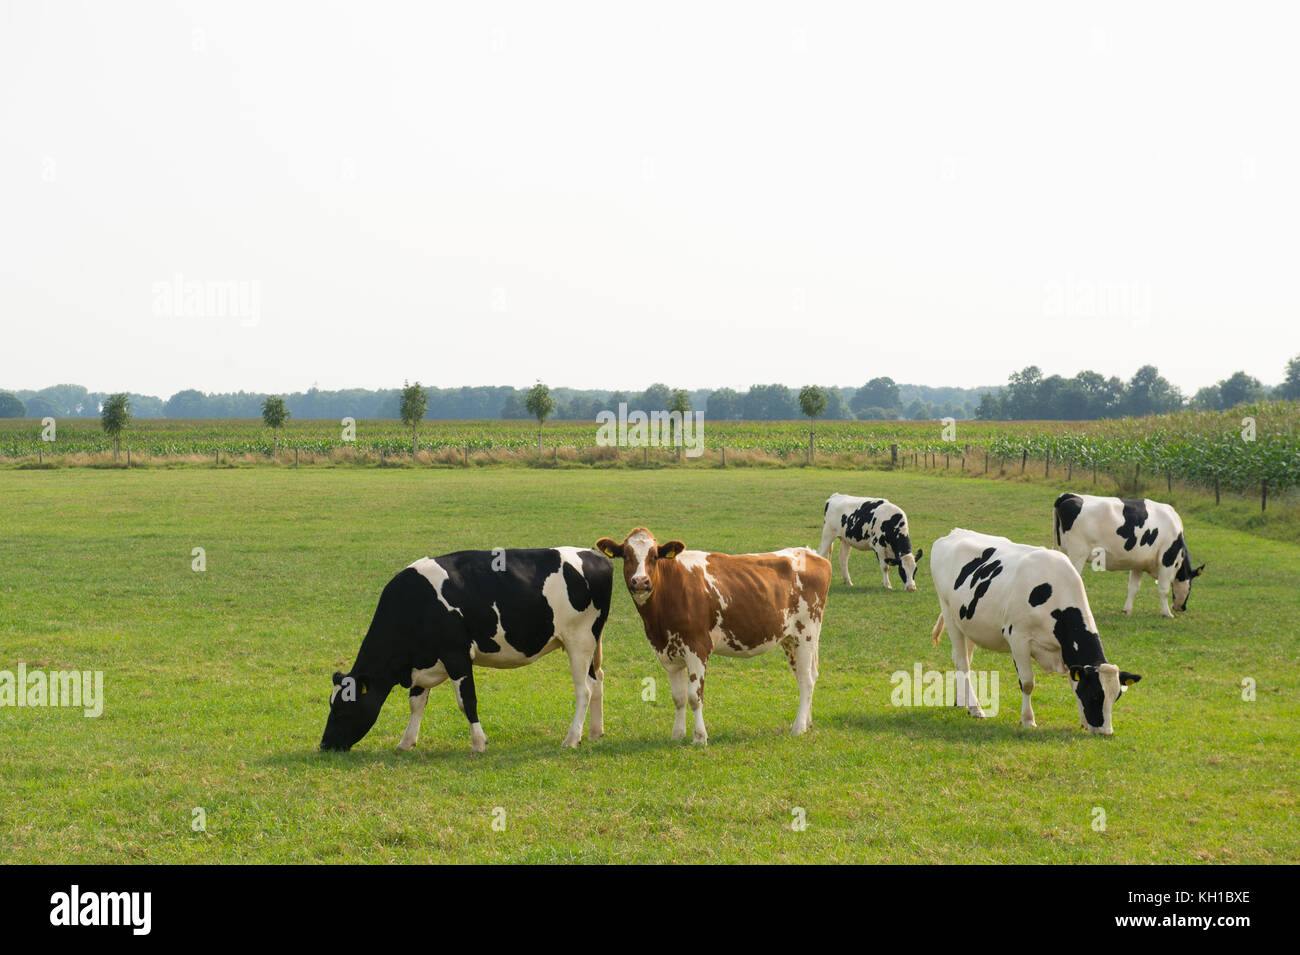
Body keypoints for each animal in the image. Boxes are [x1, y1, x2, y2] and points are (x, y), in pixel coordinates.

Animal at [320, 548, 612, 754]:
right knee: (597, 680)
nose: (324, 745)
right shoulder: (423, 660)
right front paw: (406, 742)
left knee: (584, 690)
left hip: (579, 640)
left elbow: (466, 701)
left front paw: (479, 743)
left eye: (343, 708)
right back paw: (595, 732)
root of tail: (595, 555)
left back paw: (572, 739)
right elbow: (416, 703)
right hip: (590, 643)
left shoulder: (456, 654)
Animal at [595, 527, 831, 744]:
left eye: (654, 556)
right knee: (807, 676)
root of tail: (810, 554)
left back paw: (798, 728)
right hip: (790, 639)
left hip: (806, 633)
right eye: (626, 555)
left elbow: (694, 696)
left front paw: (700, 737)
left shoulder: (697, 648)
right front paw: (677, 735)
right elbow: (679, 697)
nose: (640, 582)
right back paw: (807, 723)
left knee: (806, 680)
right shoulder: (668, 653)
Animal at [929, 528, 1142, 735]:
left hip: (969, 623)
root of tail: (953, 533)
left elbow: (1073, 684)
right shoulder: (1018, 638)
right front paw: (1028, 720)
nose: (1106, 732)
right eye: (1095, 695)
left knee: (965, 660)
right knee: (962, 662)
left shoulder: (1066, 651)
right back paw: (975, 708)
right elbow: (1027, 682)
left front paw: (1083, 721)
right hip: (949, 615)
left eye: (1116, 696)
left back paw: (961, 701)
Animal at [1053, 493, 1205, 618]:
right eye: (1190, 586)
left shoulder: (1138, 564)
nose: (1182, 608)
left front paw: (1127, 610)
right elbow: (1164, 589)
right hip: (1078, 554)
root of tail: (1069, 495)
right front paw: (1167, 613)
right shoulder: (1167, 561)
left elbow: (1133, 588)